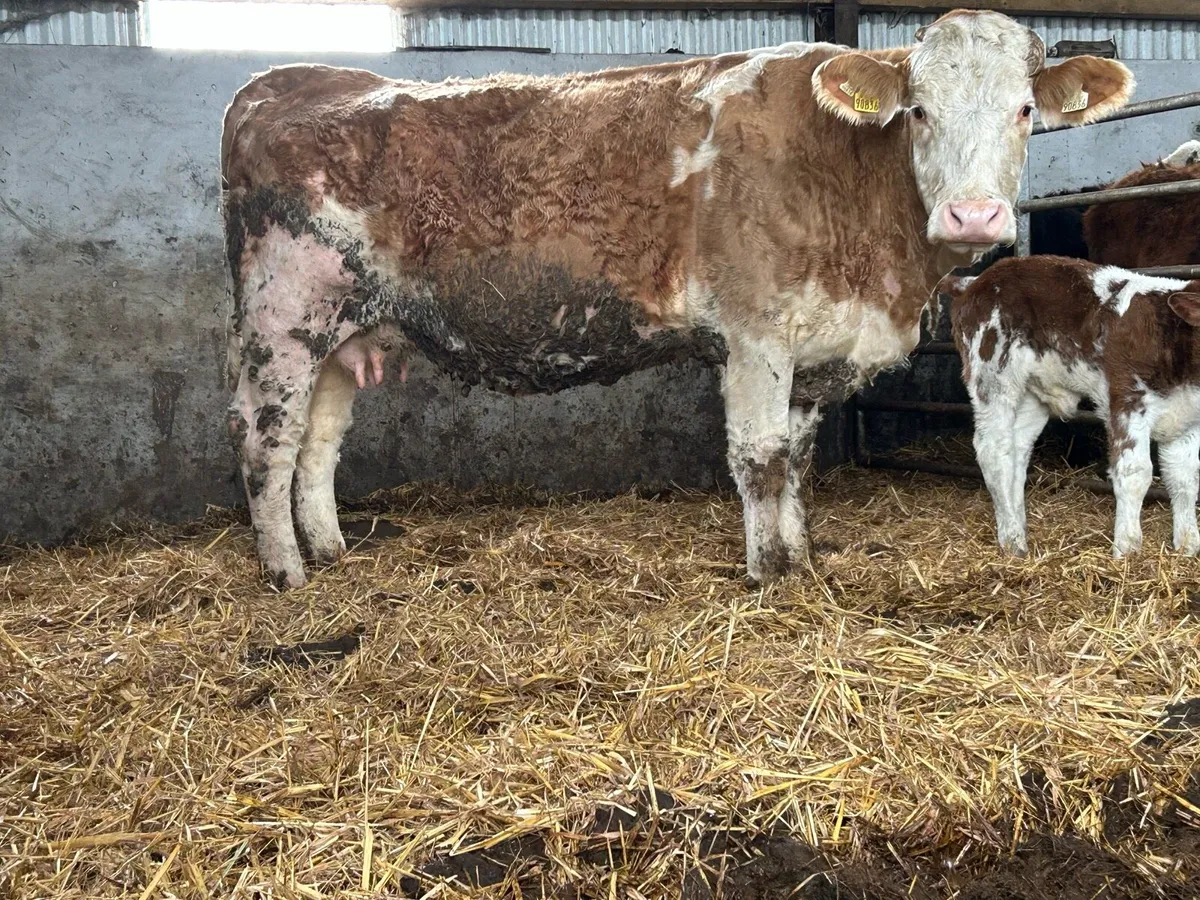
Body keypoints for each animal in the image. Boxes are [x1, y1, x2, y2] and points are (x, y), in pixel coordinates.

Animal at [221, 9, 1132, 589]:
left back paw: (330, 551)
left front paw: (799, 558)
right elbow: (759, 458)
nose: (974, 214)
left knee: (318, 443)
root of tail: (287, 80)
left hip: (346, 332)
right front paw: (770, 576)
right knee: (267, 441)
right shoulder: (756, 332)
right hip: (281, 321)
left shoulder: (815, 346)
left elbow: (796, 459)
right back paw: (286, 573)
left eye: (1026, 109)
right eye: (917, 111)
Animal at [946, 256, 1200, 558]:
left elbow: (1185, 479)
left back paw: (1019, 525)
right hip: (992, 375)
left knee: (1016, 450)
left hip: (1032, 393)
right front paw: (1127, 550)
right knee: (993, 451)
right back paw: (1012, 541)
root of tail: (974, 281)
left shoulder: (1187, 420)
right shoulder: (1126, 401)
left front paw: (1188, 547)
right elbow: (1136, 474)